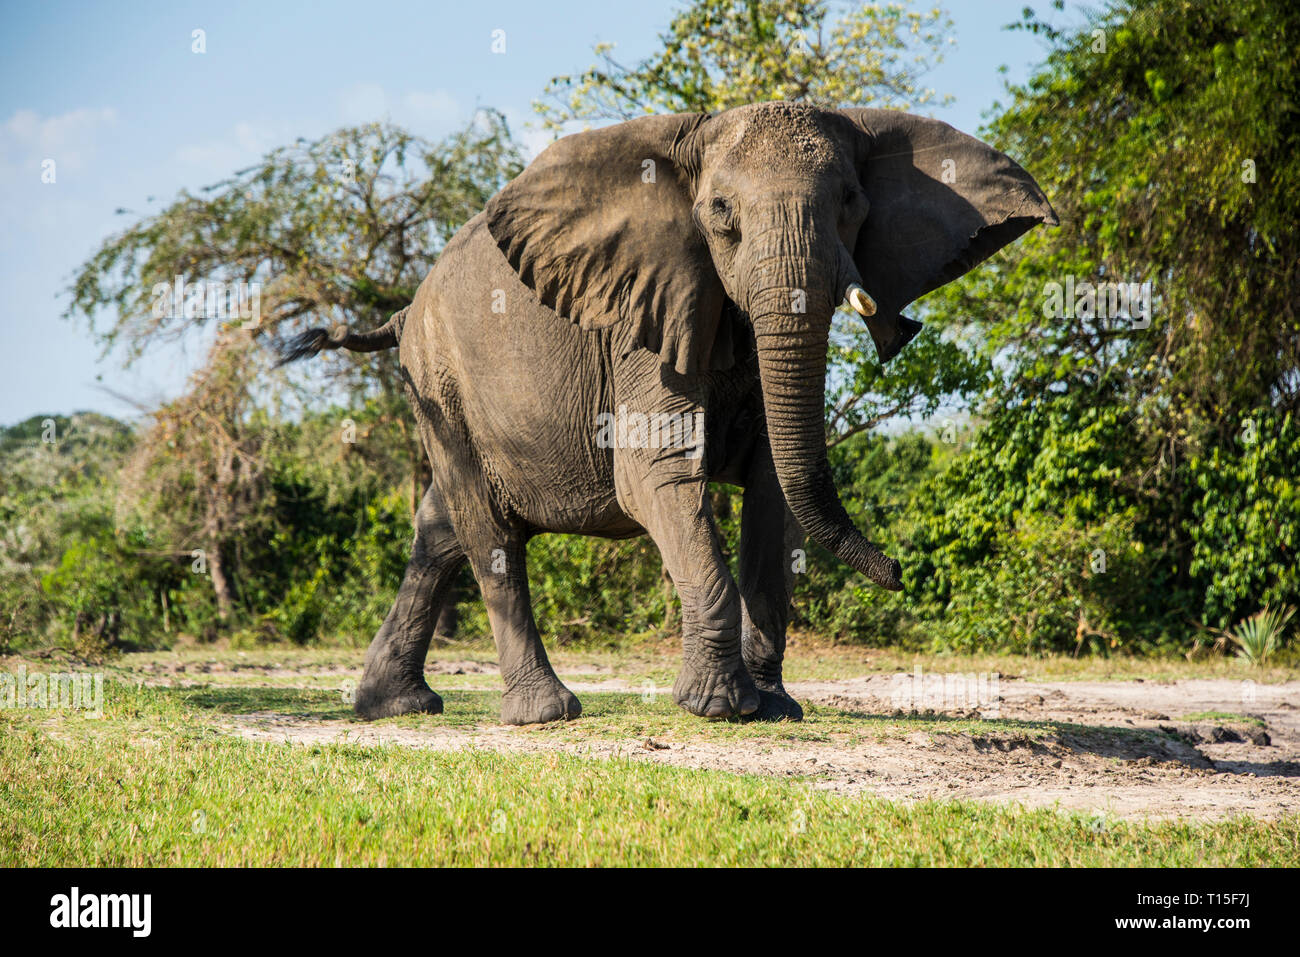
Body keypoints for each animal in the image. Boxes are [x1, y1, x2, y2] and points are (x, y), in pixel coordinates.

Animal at [284, 98, 1055, 722]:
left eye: (850, 203)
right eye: (720, 216)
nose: (900, 571)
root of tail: (404, 310)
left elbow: (774, 485)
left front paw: (775, 707)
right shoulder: (640, 321)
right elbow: (652, 475)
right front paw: (719, 708)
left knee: (441, 529)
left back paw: (393, 706)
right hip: (439, 378)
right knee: (486, 527)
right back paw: (545, 714)